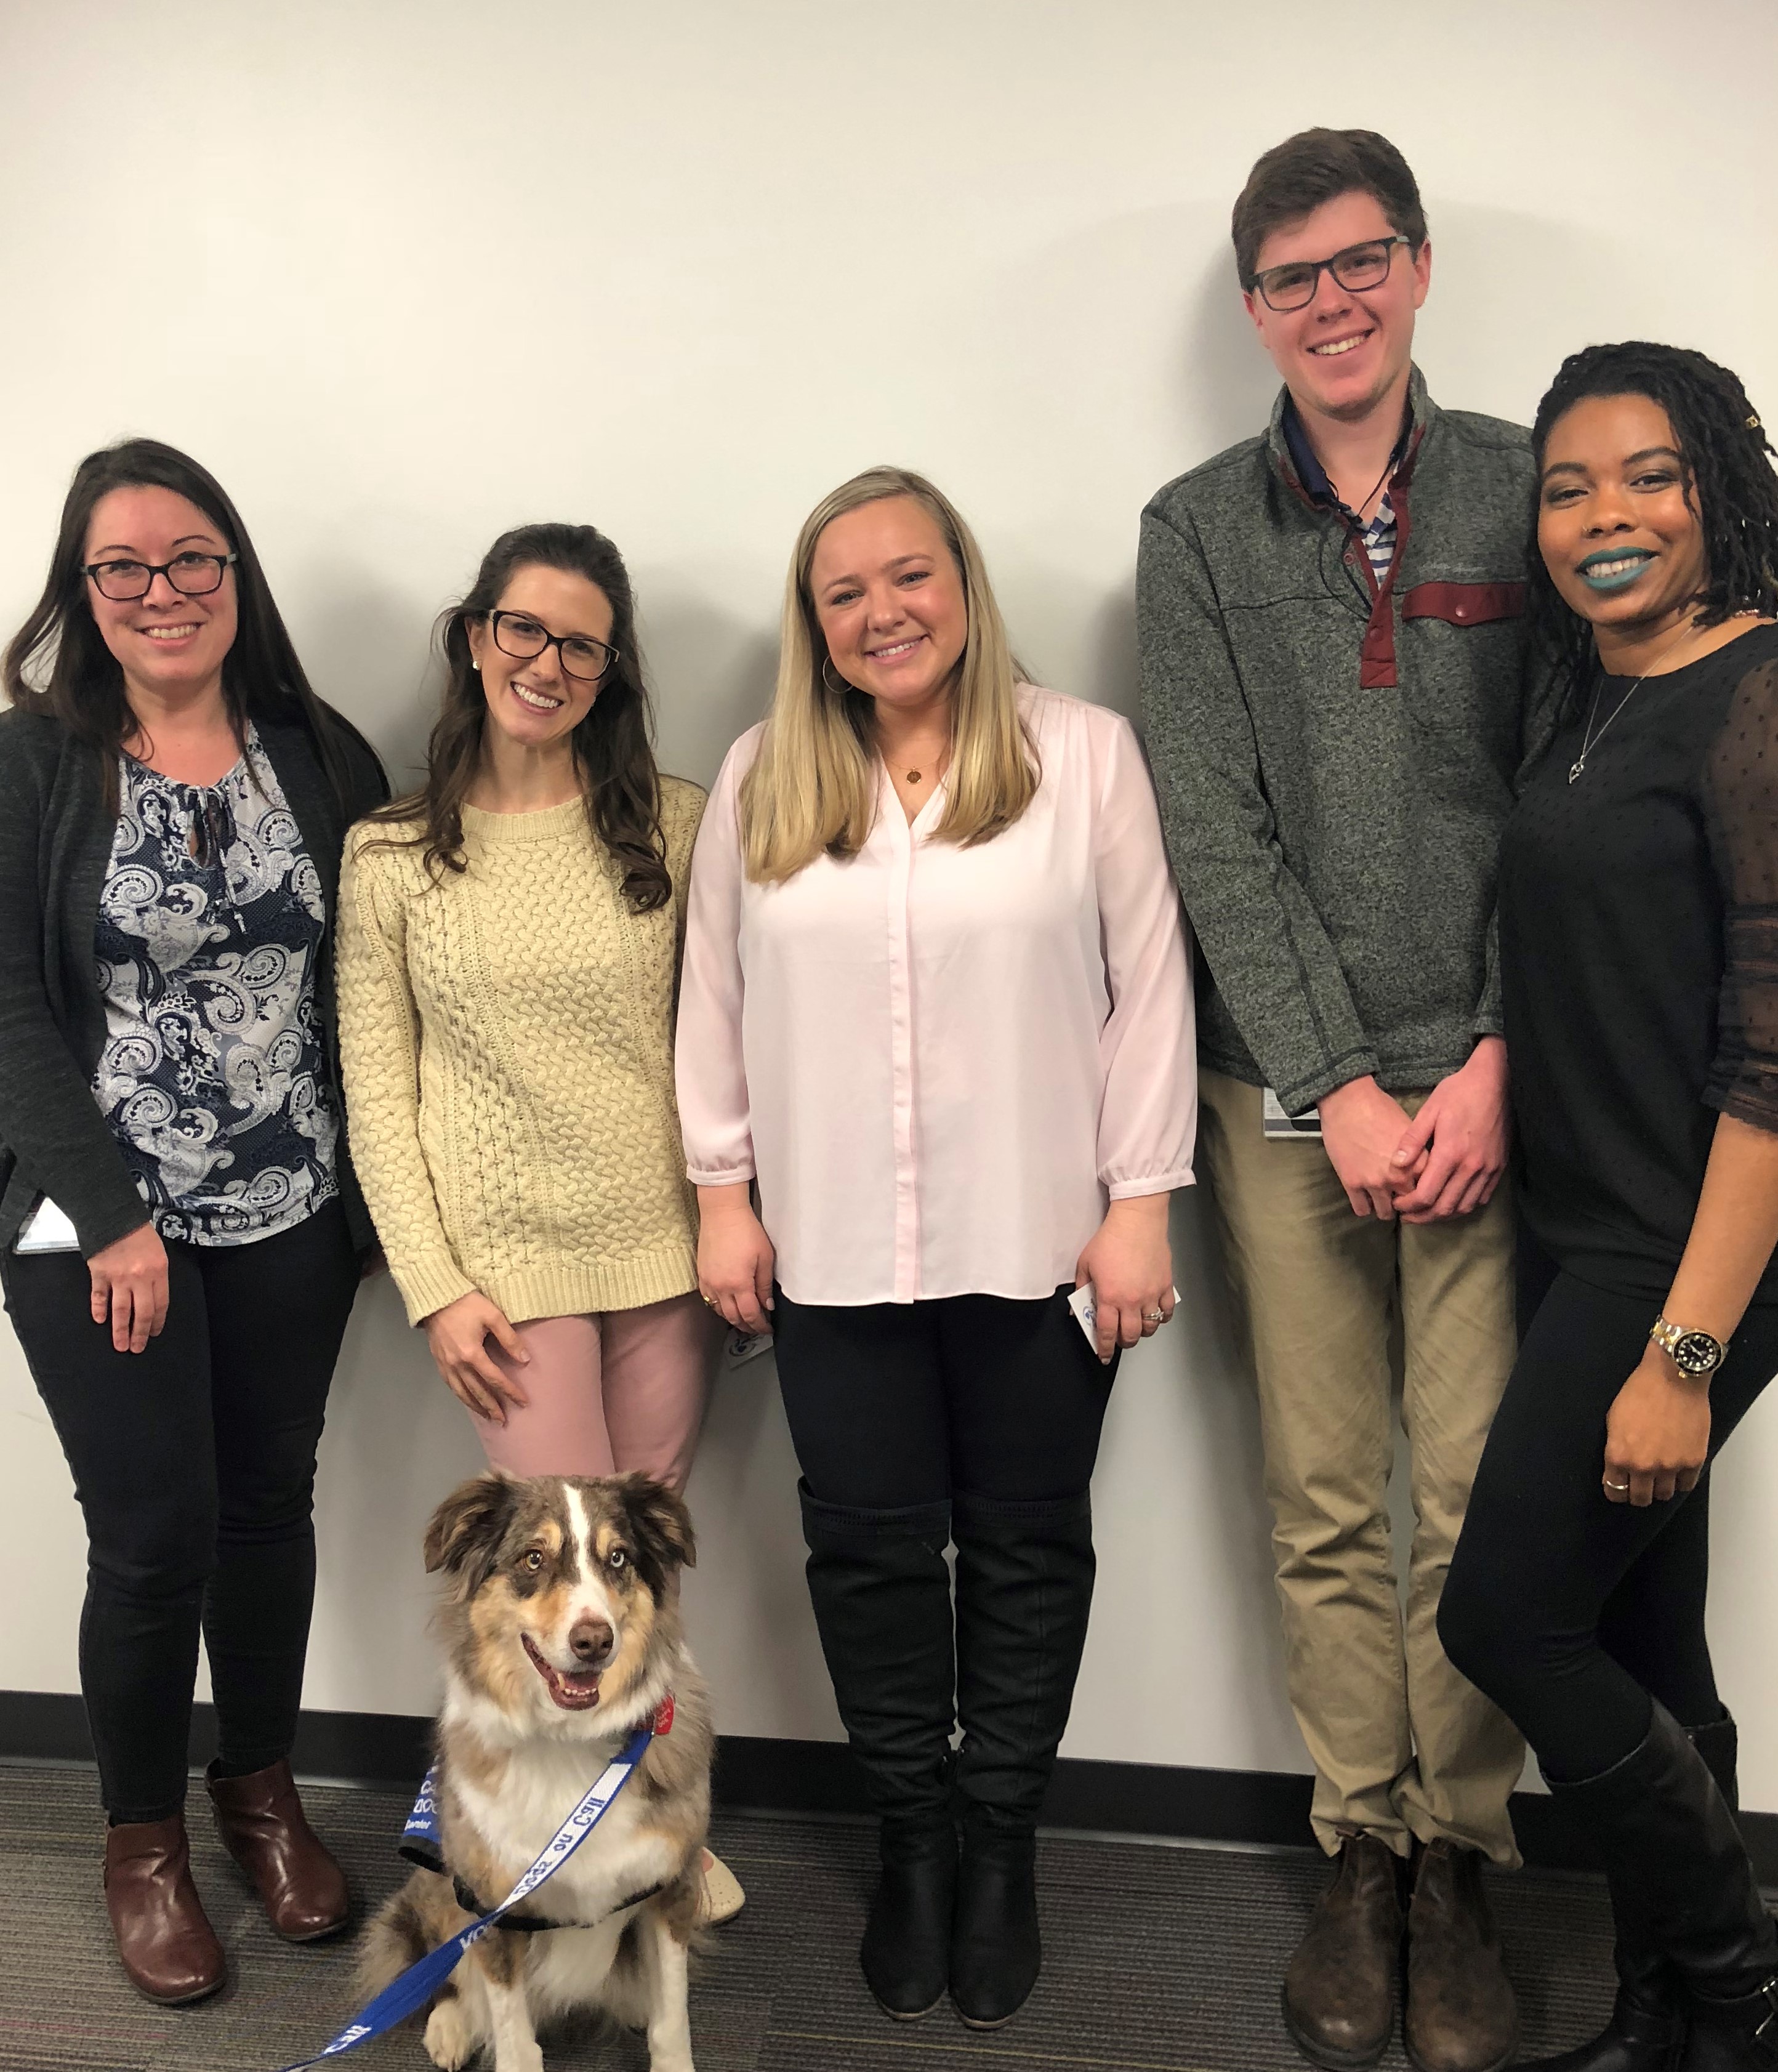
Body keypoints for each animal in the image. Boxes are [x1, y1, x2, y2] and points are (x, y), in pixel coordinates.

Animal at [360, 1475, 712, 2072]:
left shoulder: (672, 1884)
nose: (595, 1640)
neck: (569, 1743)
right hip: (438, 1887)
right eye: (533, 1558)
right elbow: (513, 2034)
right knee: (440, 1974)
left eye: (617, 1557)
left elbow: (672, 2016)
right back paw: (450, 2027)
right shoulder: (491, 1908)